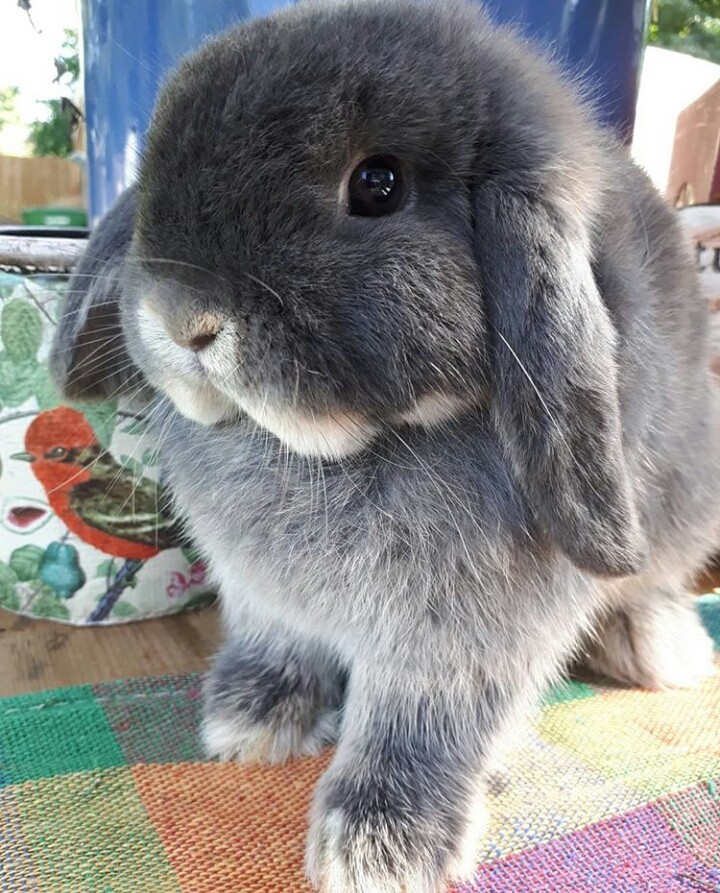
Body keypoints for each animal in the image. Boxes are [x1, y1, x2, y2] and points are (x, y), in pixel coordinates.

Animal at [51, 1, 720, 890]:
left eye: (378, 185)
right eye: (156, 165)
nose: (179, 317)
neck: (334, 452)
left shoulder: (461, 635)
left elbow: (419, 716)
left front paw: (379, 844)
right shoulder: (263, 593)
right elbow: (276, 638)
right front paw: (251, 719)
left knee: (651, 584)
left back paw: (659, 647)